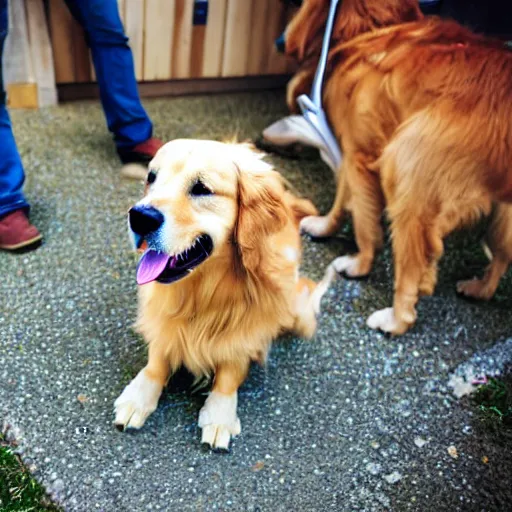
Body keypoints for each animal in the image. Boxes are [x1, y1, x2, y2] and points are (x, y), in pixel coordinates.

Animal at [113, 139, 332, 448]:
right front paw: (138, 396)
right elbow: (157, 357)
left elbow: (230, 373)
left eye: (202, 188)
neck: (204, 294)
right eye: (151, 178)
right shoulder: (161, 315)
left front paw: (219, 416)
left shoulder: (248, 332)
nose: (139, 217)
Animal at [286, 0, 512, 334]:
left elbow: (365, 223)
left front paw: (359, 264)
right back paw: (480, 288)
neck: (379, 28)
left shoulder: (360, 156)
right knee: (502, 253)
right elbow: (342, 201)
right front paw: (324, 227)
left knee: (413, 265)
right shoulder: (351, 149)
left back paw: (395, 319)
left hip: (407, 168)